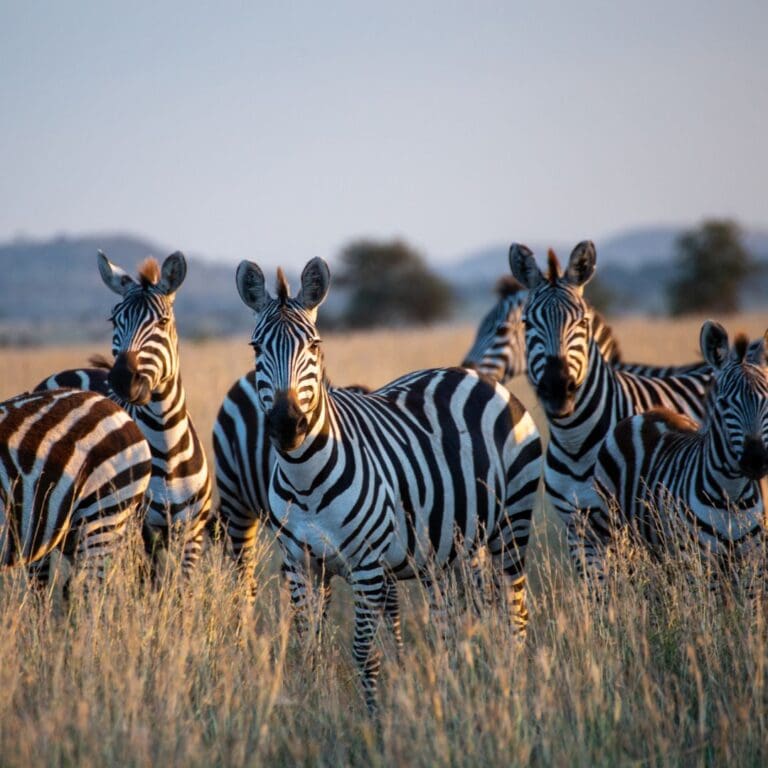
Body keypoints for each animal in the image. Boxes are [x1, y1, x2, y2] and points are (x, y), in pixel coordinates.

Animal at [36, 252, 213, 576]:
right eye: (114, 319)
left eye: (163, 321)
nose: (121, 379)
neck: (167, 445)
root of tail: (68, 372)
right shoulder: (137, 534)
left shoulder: (191, 534)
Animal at [510, 240, 712, 584]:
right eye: (526, 323)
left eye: (582, 322)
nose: (557, 388)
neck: (575, 441)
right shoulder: (577, 530)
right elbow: (598, 591)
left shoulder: (626, 527)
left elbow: (634, 588)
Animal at [592, 322, 768, 588]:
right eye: (724, 404)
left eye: (767, 401)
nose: (755, 460)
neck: (732, 494)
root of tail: (648, 413)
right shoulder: (699, 563)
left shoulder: (753, 564)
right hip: (612, 530)